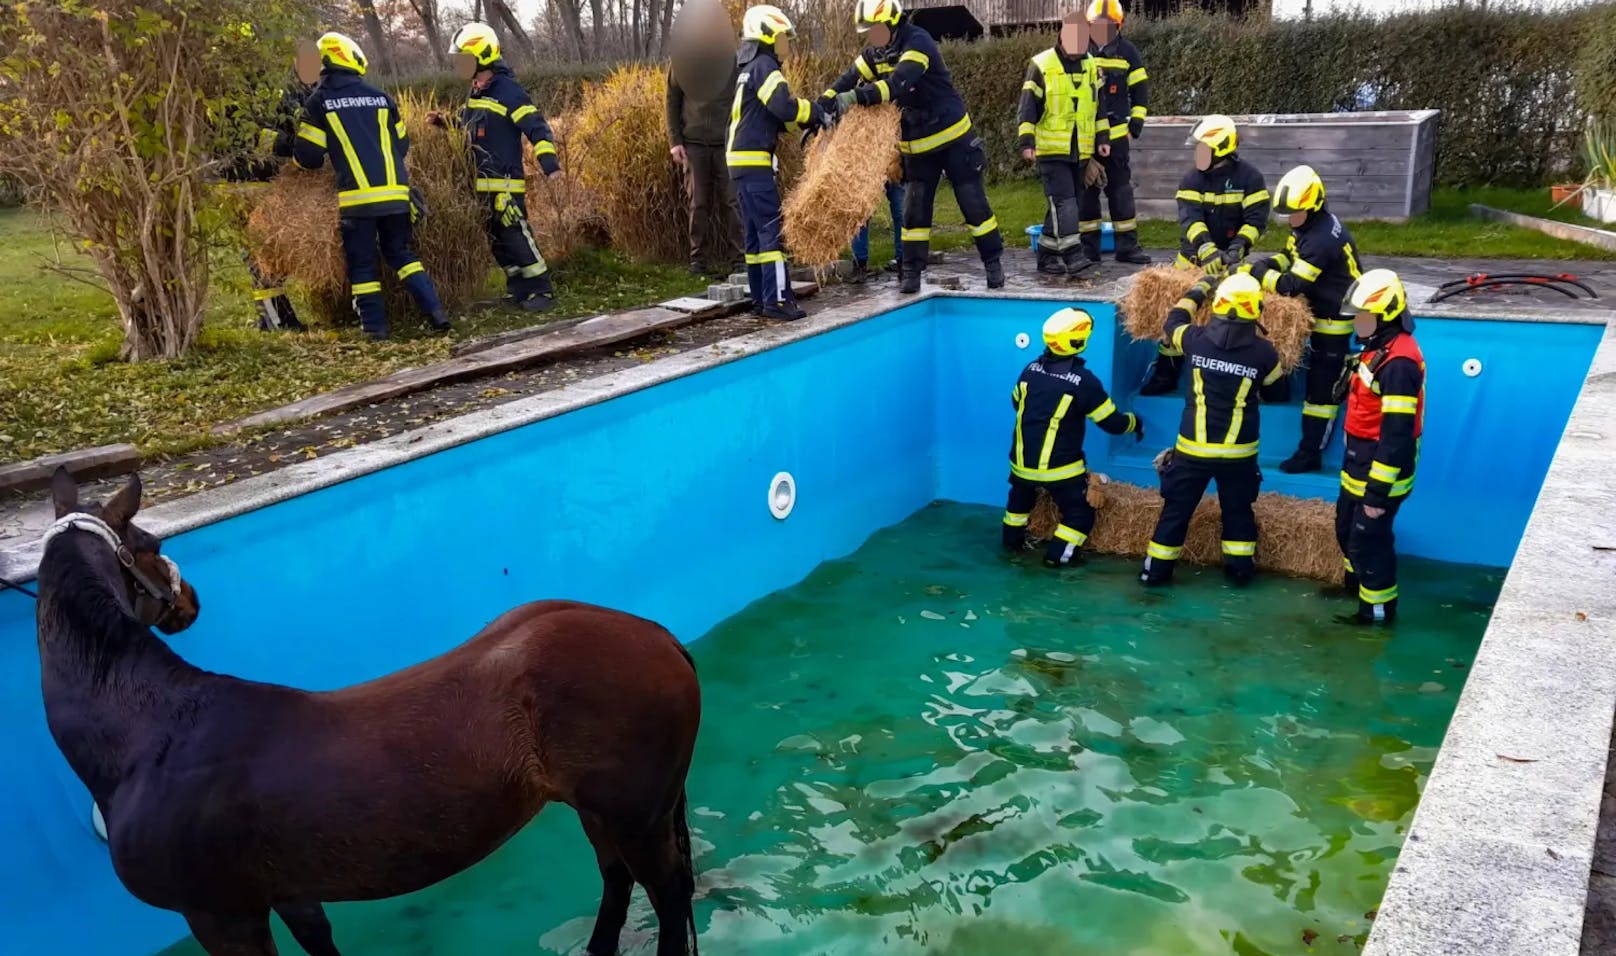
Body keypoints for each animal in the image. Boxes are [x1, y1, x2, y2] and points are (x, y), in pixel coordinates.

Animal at [34, 471, 704, 956]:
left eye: (153, 544)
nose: (190, 601)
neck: (152, 739)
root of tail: (656, 634)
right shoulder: (286, 894)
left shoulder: (223, 915)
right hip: (600, 810)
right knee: (617, 882)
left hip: (637, 817)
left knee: (668, 899)